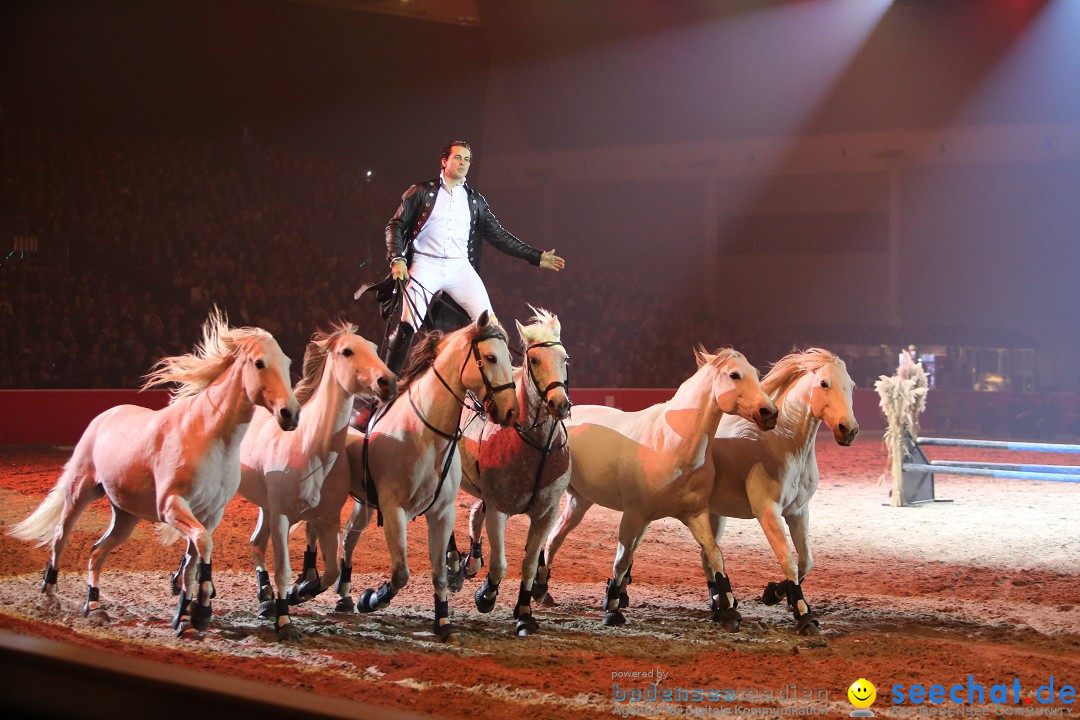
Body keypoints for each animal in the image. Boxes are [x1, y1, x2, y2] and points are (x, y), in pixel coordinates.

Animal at [8, 310, 298, 634]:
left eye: (287, 363)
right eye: (259, 363)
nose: (290, 414)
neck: (209, 437)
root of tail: (104, 416)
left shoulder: (210, 514)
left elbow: (194, 558)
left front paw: (186, 616)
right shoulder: (171, 506)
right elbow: (202, 546)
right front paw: (200, 610)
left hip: (125, 516)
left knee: (96, 552)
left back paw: (93, 606)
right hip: (79, 492)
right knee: (61, 538)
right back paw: (49, 595)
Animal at [339, 313, 520, 643]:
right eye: (490, 357)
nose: (512, 411)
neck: (426, 434)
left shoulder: (442, 513)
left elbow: (439, 573)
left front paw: (444, 622)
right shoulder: (394, 511)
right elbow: (401, 573)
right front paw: (371, 599)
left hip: (364, 501)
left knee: (350, 535)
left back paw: (344, 593)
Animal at [457, 306, 574, 634]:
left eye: (564, 358)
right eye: (534, 360)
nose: (560, 404)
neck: (537, 448)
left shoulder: (546, 512)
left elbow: (529, 564)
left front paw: (524, 611)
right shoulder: (499, 508)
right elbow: (500, 564)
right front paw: (486, 594)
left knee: (475, 512)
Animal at [540, 349, 777, 630]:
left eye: (756, 373)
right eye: (734, 375)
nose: (769, 412)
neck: (671, 444)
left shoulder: (695, 515)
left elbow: (714, 554)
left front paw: (729, 609)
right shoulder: (633, 515)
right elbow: (621, 561)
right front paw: (612, 610)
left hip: (580, 501)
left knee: (555, 538)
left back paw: (543, 591)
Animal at [708, 345, 859, 634]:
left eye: (852, 385)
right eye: (824, 383)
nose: (849, 430)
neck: (783, 445)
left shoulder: (798, 512)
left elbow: (805, 561)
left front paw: (775, 593)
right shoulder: (768, 512)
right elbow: (788, 559)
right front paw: (803, 615)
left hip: (714, 513)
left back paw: (720, 604)